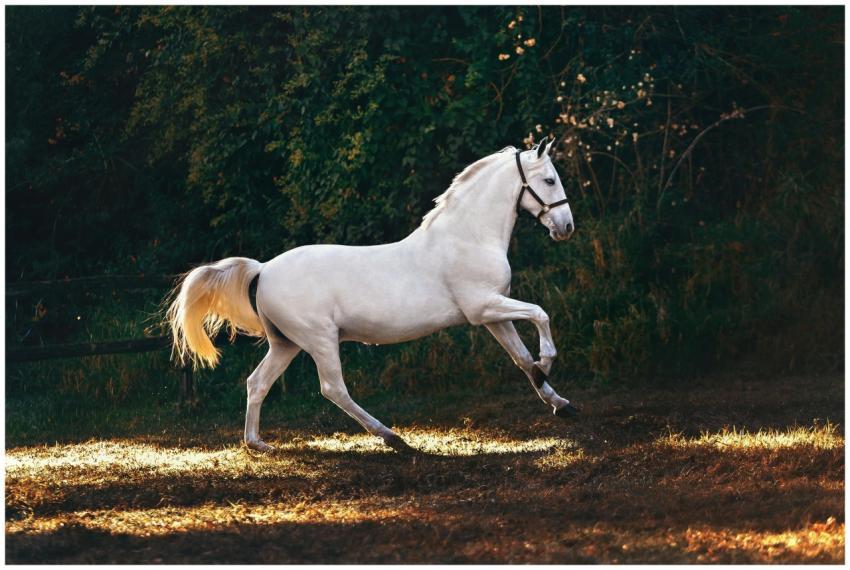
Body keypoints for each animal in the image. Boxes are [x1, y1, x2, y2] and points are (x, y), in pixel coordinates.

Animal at [166, 136, 578, 453]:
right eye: (549, 180)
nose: (566, 227)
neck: (468, 237)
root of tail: (263, 269)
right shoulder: (484, 308)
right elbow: (540, 314)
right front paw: (548, 362)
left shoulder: (494, 315)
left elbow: (521, 359)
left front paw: (559, 401)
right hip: (319, 339)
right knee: (333, 388)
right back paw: (392, 437)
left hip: (286, 343)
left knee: (257, 382)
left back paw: (257, 444)